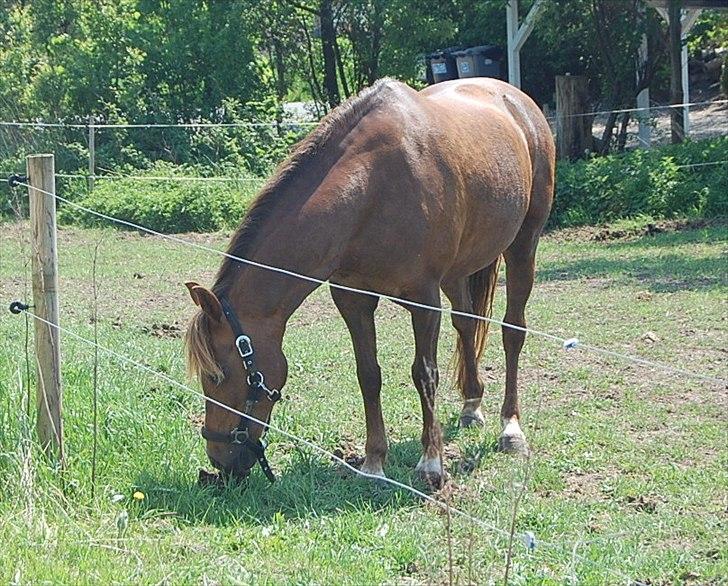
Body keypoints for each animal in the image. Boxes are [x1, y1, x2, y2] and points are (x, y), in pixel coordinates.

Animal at [185, 76, 556, 484]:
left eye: (218, 375)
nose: (219, 460)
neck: (371, 190)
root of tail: (515, 99)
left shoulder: (423, 300)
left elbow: (424, 374)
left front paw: (431, 463)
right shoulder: (353, 298)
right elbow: (369, 374)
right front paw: (374, 461)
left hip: (523, 246)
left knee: (512, 331)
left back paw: (511, 429)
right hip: (458, 271)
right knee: (467, 322)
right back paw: (471, 405)